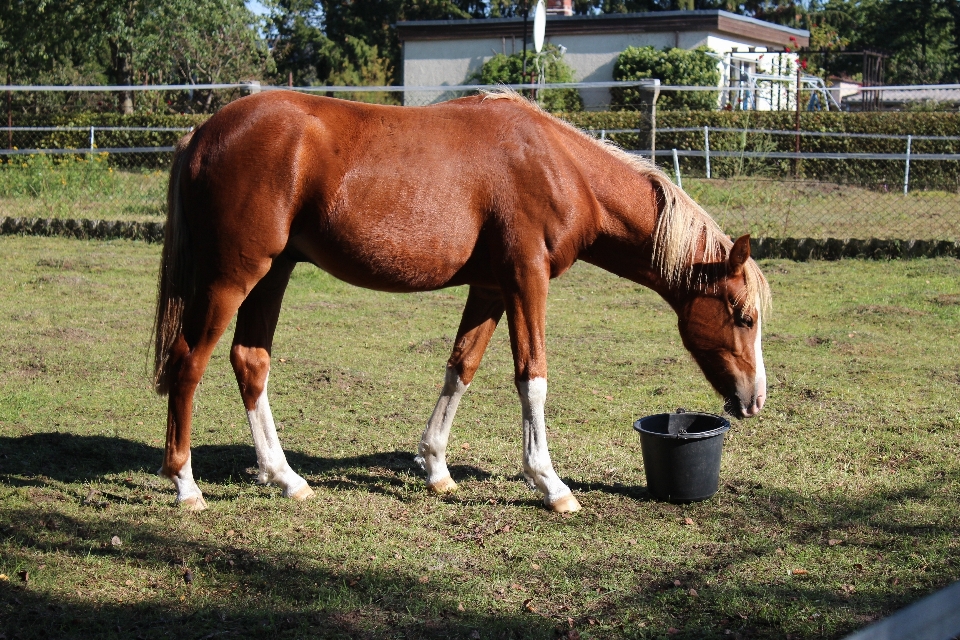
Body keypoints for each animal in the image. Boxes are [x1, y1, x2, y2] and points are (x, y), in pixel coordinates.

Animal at [154, 87, 768, 512]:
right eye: (743, 316)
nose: (755, 400)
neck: (560, 166)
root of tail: (203, 133)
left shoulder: (492, 287)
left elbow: (461, 368)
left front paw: (436, 468)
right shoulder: (526, 280)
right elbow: (532, 378)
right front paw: (551, 485)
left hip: (272, 274)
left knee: (250, 361)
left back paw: (285, 478)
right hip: (233, 277)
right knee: (188, 363)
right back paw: (186, 485)